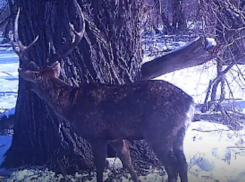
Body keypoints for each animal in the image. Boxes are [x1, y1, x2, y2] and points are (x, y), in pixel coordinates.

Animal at [11, 0, 195, 182]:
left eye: (31, 79)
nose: (25, 86)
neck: (71, 104)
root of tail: (190, 104)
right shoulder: (115, 137)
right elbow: (127, 161)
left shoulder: (96, 135)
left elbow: (99, 168)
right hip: (178, 134)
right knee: (183, 164)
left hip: (159, 131)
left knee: (173, 168)